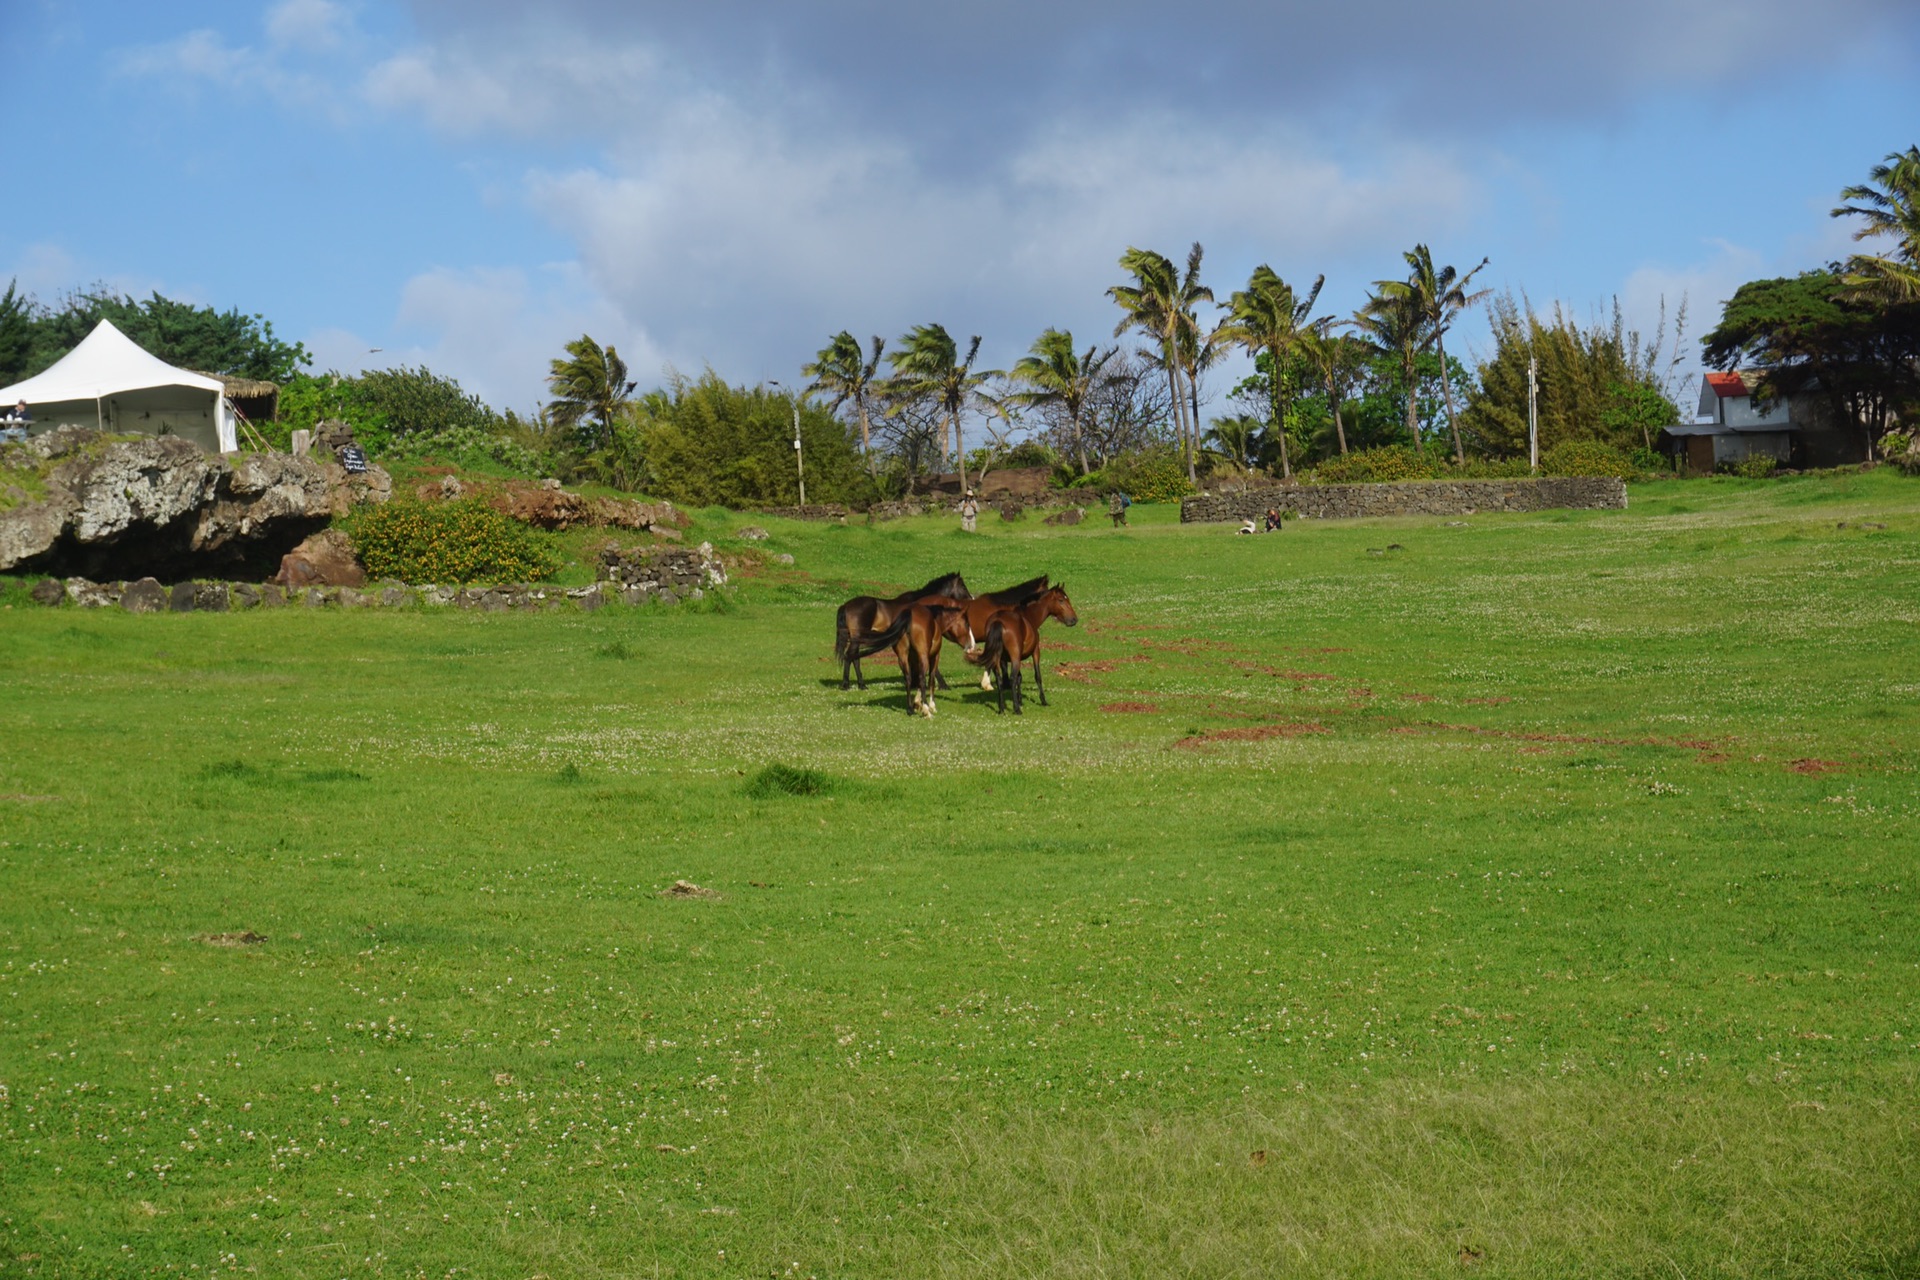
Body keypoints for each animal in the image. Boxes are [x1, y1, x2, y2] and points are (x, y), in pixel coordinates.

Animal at [833, 571, 967, 690]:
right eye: (963, 586)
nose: (970, 598)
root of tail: (846, 606)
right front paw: (943, 685)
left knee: (855, 658)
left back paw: (861, 685)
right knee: (849, 656)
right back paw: (846, 684)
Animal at [967, 587, 1075, 717]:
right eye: (1061, 600)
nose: (1074, 619)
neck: (1028, 616)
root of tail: (998, 622)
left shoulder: (1010, 659)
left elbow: (1019, 678)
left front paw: (1019, 700)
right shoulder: (1035, 652)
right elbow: (1036, 676)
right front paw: (1042, 701)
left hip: (998, 658)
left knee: (999, 679)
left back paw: (1001, 709)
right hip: (1015, 657)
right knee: (1012, 678)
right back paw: (1016, 709)